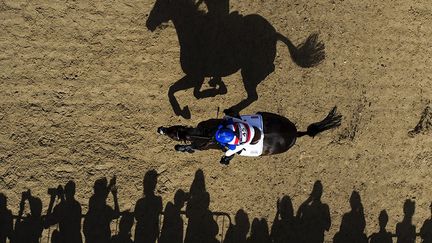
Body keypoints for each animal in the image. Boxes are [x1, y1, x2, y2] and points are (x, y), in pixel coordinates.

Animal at [145, 0, 324, 118]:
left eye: (160, 6)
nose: (149, 24)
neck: (195, 33)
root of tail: (274, 34)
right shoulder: (198, 77)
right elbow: (188, 91)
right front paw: (216, 87)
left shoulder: (195, 76)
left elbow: (177, 91)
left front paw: (184, 112)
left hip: (248, 72)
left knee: (253, 95)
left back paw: (232, 110)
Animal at [157, 107, 342, 162]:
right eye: (172, 128)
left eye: (172, 133)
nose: (161, 129)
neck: (209, 134)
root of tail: (296, 133)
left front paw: (181, 148)